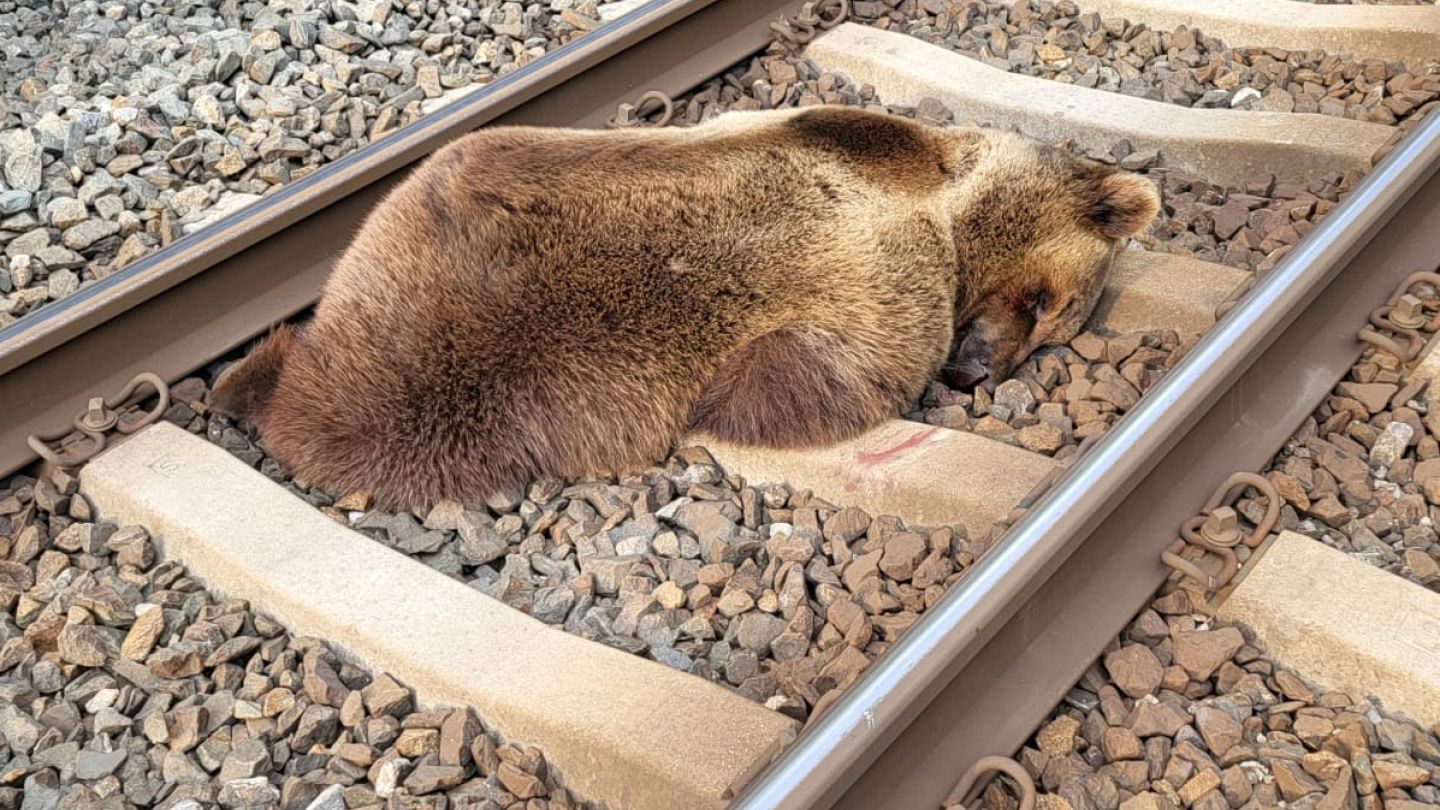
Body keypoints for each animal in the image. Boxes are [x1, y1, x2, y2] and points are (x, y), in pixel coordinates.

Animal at [213, 103, 1157, 507]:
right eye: (1047, 300)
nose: (978, 368)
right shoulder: (891, 255)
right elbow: (837, 370)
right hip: (438, 339)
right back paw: (248, 381)